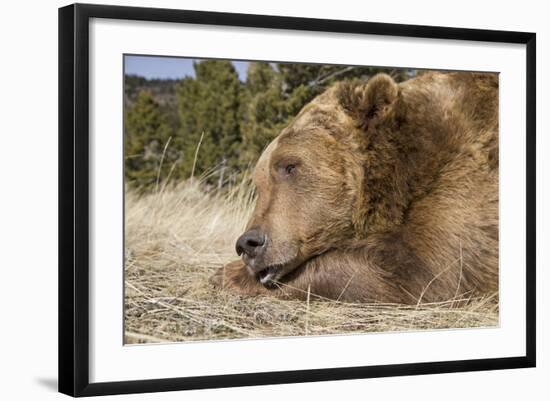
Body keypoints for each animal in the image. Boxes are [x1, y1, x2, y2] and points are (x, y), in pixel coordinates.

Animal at [210, 71, 500, 304]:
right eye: (259, 183)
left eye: (289, 166)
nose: (248, 243)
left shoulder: (464, 177)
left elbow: (426, 270)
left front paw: (228, 274)